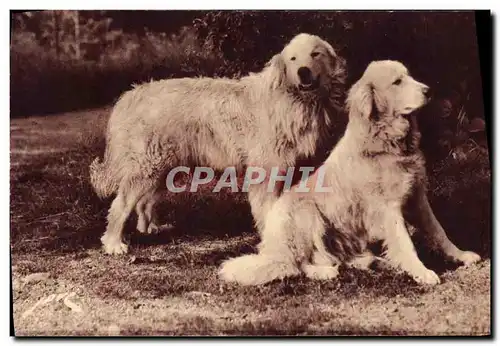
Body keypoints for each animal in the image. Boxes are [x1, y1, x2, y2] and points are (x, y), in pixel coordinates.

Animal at [90, 33, 346, 254]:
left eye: (315, 54)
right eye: (293, 58)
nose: (303, 72)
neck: (292, 98)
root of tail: (131, 95)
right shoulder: (266, 170)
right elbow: (267, 208)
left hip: (162, 167)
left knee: (144, 202)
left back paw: (150, 228)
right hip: (147, 166)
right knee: (121, 204)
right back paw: (113, 243)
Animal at [220, 60, 480, 286]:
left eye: (409, 76)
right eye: (397, 82)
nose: (429, 91)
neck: (387, 141)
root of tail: (272, 249)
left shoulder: (417, 197)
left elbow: (439, 231)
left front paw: (461, 255)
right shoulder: (389, 208)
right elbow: (406, 243)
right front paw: (422, 272)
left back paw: (372, 261)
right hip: (305, 212)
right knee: (298, 263)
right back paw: (325, 272)